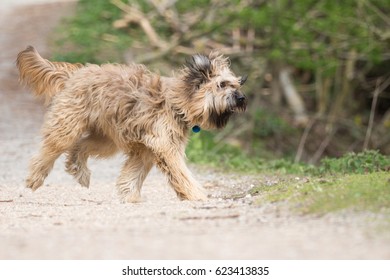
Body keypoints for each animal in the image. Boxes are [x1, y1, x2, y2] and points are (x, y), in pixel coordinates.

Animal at [16, 47, 247, 202]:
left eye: (236, 84)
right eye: (222, 85)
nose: (241, 98)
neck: (178, 102)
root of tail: (76, 74)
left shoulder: (145, 149)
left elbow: (133, 174)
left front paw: (130, 196)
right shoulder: (164, 145)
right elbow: (181, 172)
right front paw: (196, 194)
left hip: (106, 139)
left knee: (79, 147)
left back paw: (79, 171)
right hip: (68, 125)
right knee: (49, 150)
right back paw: (35, 178)